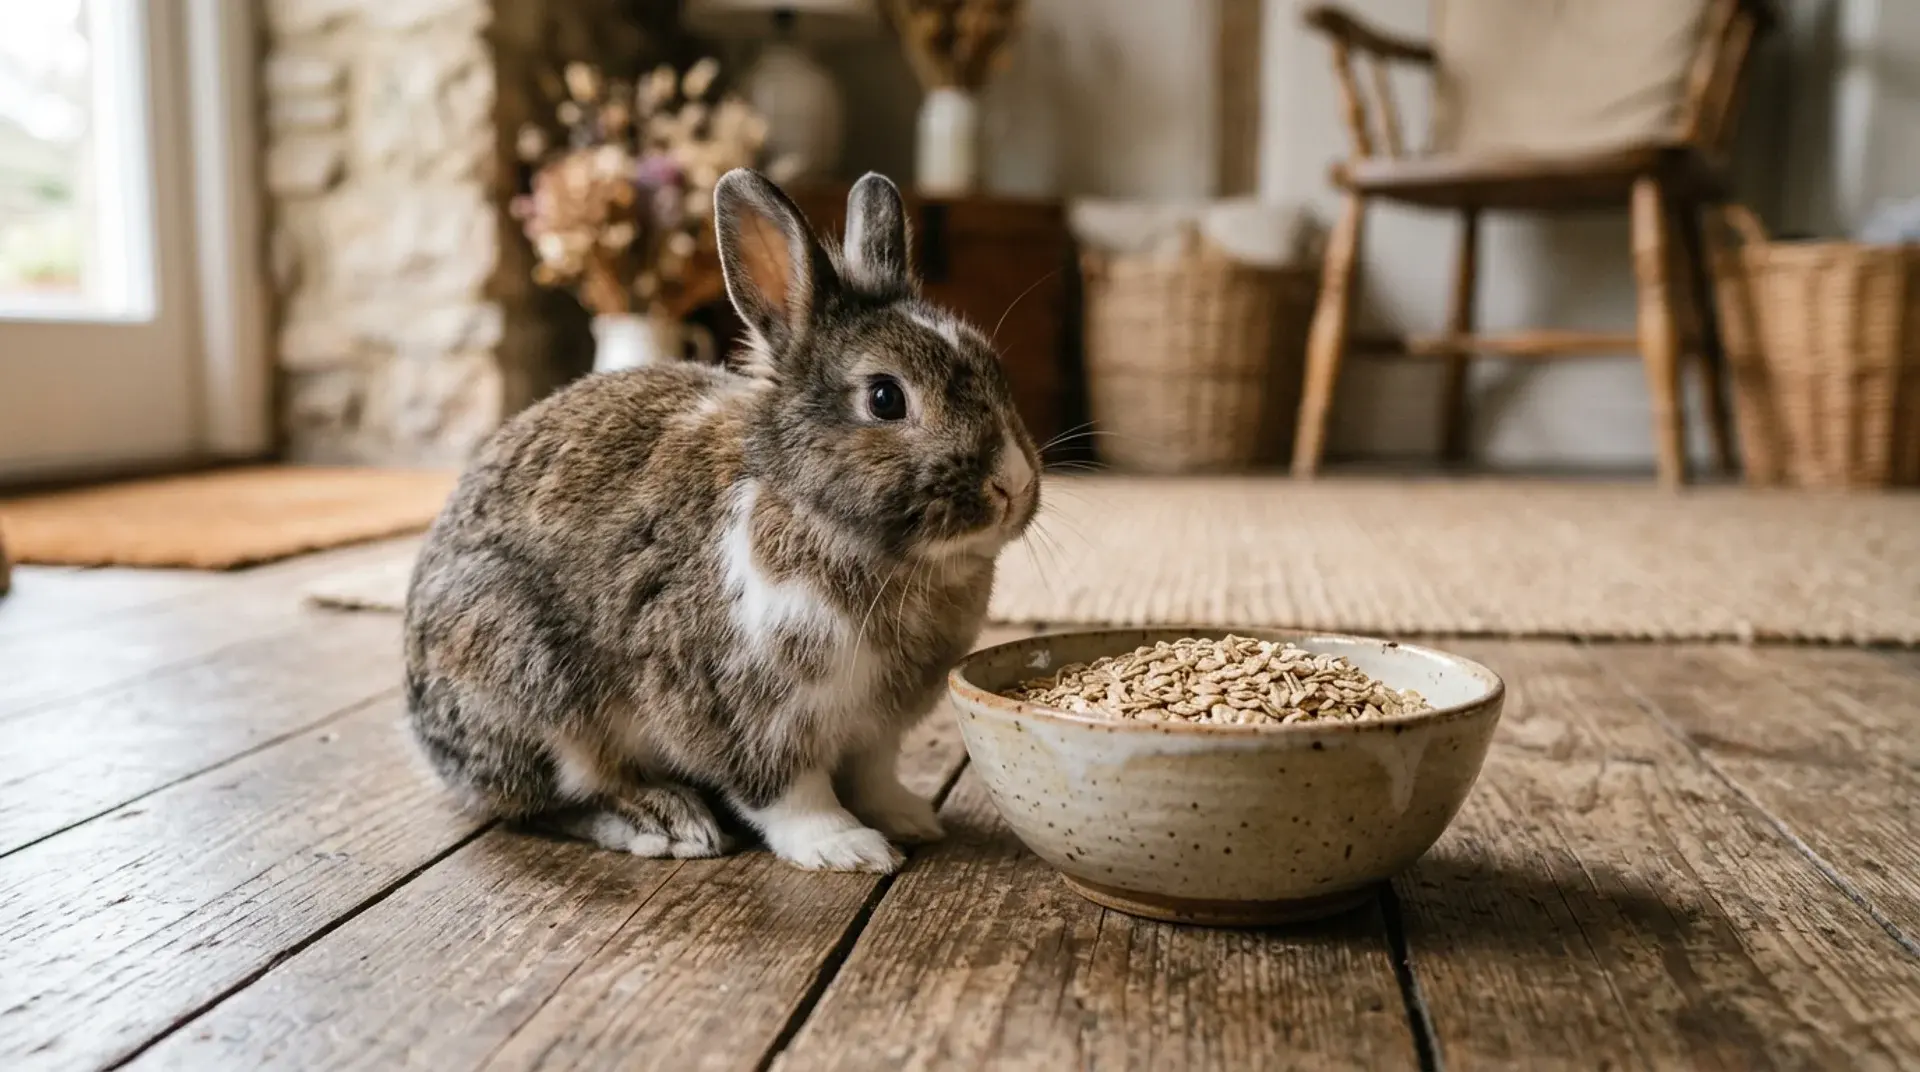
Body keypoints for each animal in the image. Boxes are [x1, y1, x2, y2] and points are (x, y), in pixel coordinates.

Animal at [403, 170, 1041, 874]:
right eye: (884, 398)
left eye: (994, 368)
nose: (1011, 485)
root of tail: (426, 734)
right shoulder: (749, 712)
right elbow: (789, 794)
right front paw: (848, 848)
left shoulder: (875, 731)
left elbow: (873, 777)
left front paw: (909, 818)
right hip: (529, 684)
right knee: (550, 799)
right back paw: (667, 820)